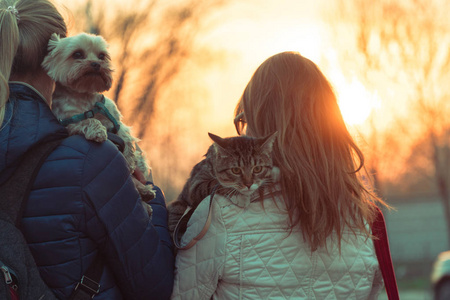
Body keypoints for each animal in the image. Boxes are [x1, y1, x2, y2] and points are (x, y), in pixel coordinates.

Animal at [41, 33, 156, 204]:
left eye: (102, 56)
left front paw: (129, 162)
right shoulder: (69, 121)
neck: (86, 96)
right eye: (77, 54)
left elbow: (126, 140)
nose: (96, 64)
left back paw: (145, 191)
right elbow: (89, 120)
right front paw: (98, 132)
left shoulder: (117, 121)